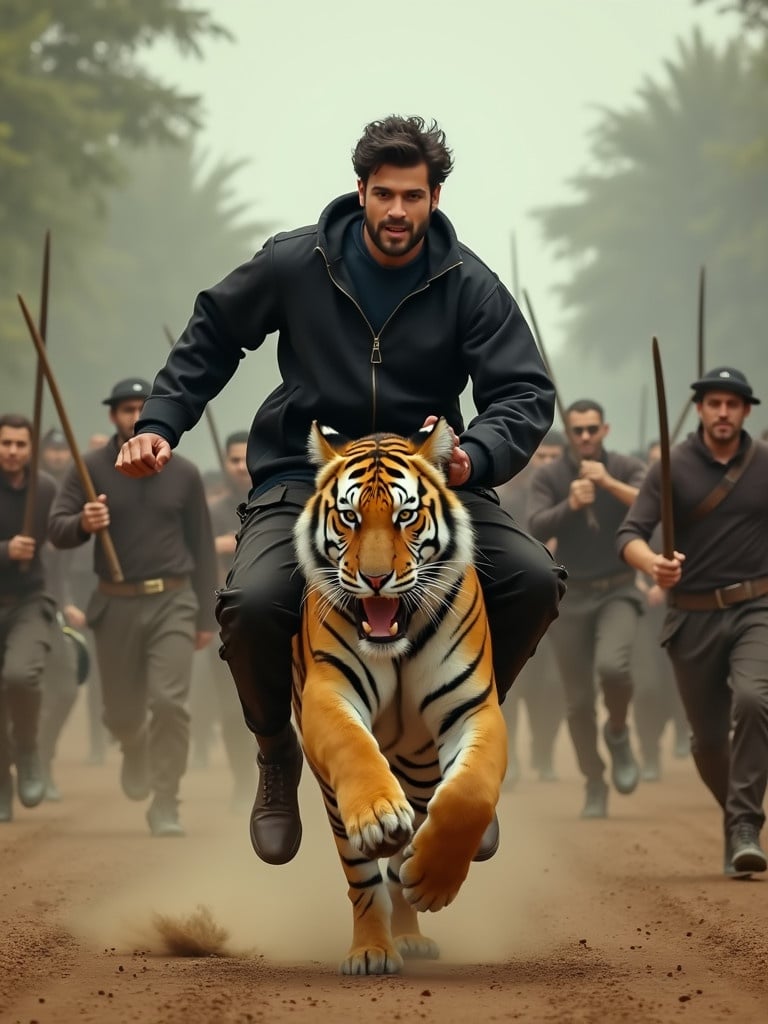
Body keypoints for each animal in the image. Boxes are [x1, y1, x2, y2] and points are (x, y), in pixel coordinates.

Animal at [290, 415, 507, 974]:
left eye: (406, 516)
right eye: (348, 517)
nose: (375, 579)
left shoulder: (473, 707)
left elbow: (471, 794)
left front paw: (431, 880)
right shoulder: (328, 692)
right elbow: (352, 745)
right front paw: (379, 816)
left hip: (422, 768)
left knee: (397, 865)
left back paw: (409, 928)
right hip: (333, 799)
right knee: (364, 878)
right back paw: (372, 950)